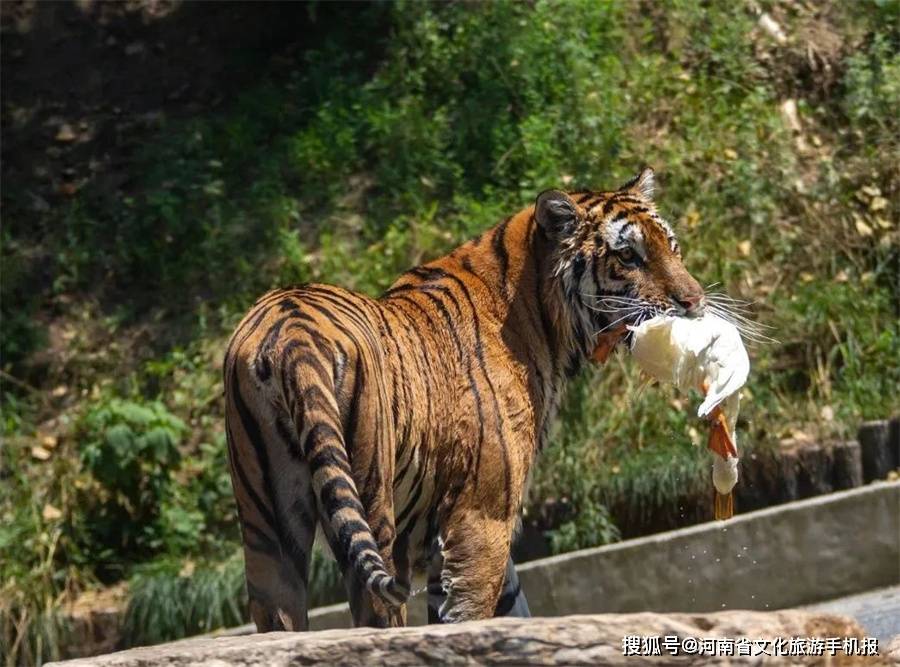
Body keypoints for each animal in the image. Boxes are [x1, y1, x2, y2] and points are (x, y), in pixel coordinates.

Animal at [223, 167, 706, 630]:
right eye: (628, 256)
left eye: (673, 247)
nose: (694, 301)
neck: (539, 315)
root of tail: (291, 335)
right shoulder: (480, 518)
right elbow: (467, 616)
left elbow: (512, 608)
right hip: (372, 496)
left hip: (268, 529)